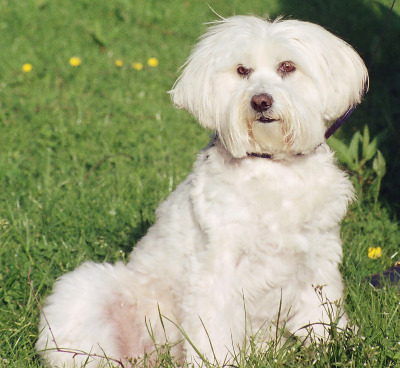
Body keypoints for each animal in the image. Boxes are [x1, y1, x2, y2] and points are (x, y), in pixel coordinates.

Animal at [36, 15, 368, 368]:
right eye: (242, 70)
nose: (260, 101)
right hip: (88, 293)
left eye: (287, 67)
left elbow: (320, 317)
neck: (274, 167)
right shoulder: (216, 271)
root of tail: (151, 356)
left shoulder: (317, 260)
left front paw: (334, 347)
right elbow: (214, 333)